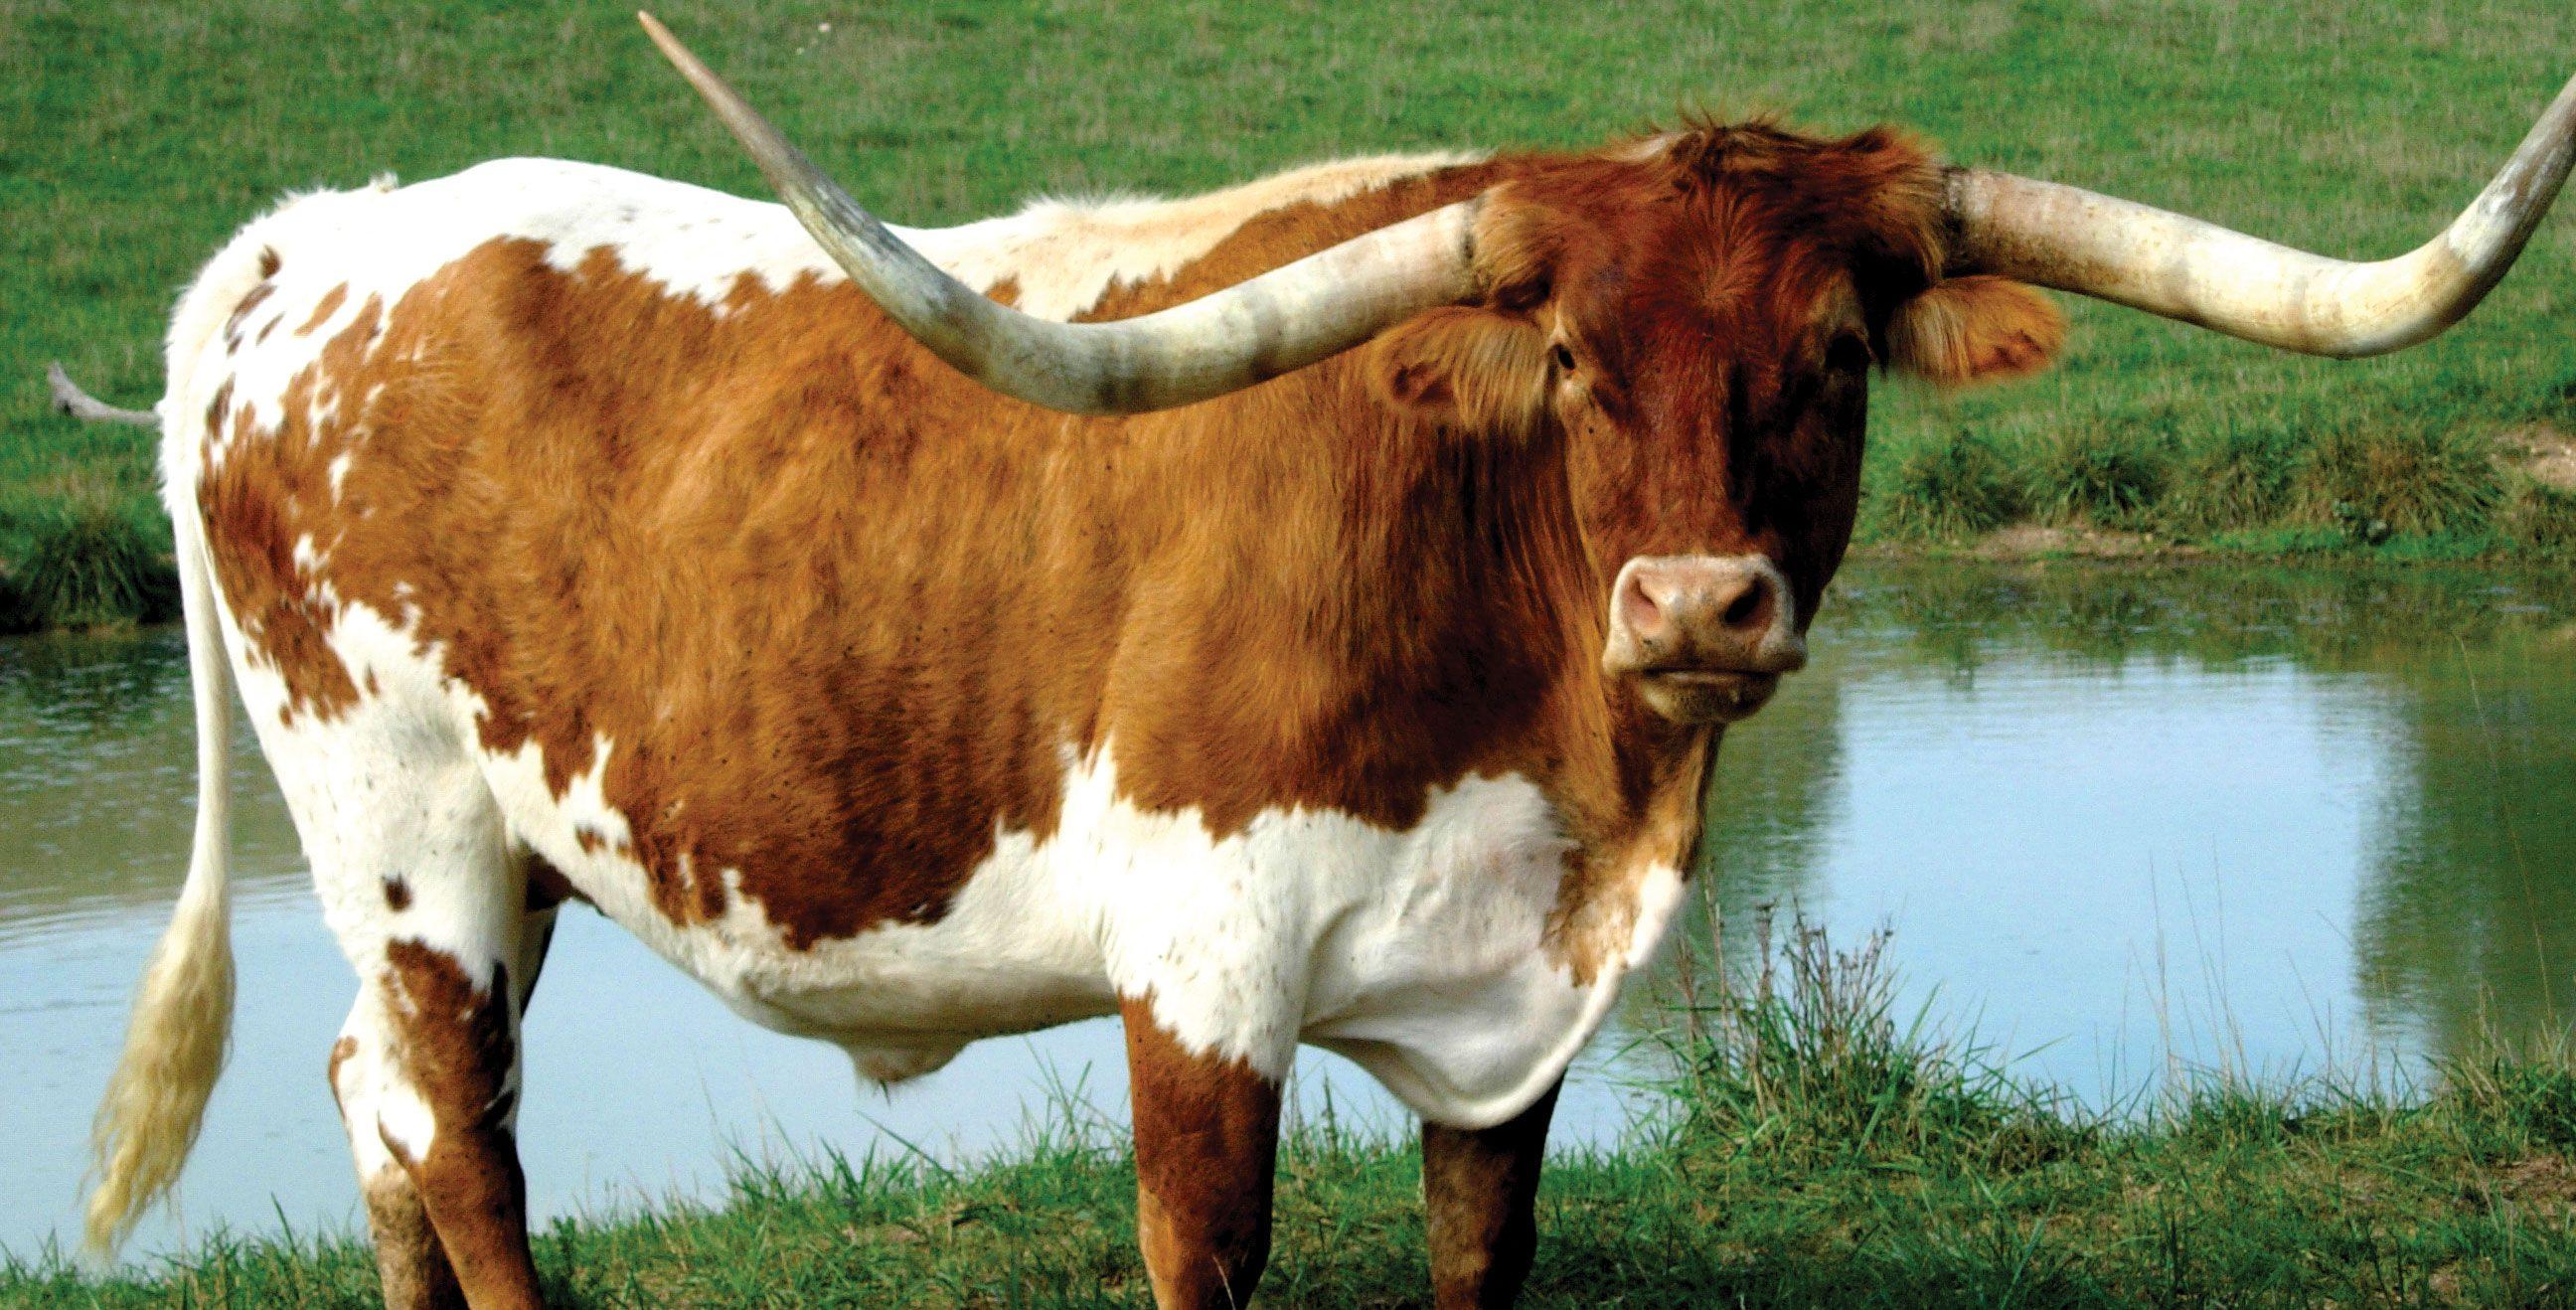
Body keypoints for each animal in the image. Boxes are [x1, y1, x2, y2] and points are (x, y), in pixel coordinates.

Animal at [71, 14, 2572, 1307]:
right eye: (1568, 360)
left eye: (1835, 359)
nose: (1699, 607)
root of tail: (323, 241)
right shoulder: (1204, 969)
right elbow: (1214, 1244)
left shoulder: (1512, 1013)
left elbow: (1482, 1246)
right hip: (404, 824)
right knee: (461, 1139)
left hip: (490, 857)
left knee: (381, 1111)